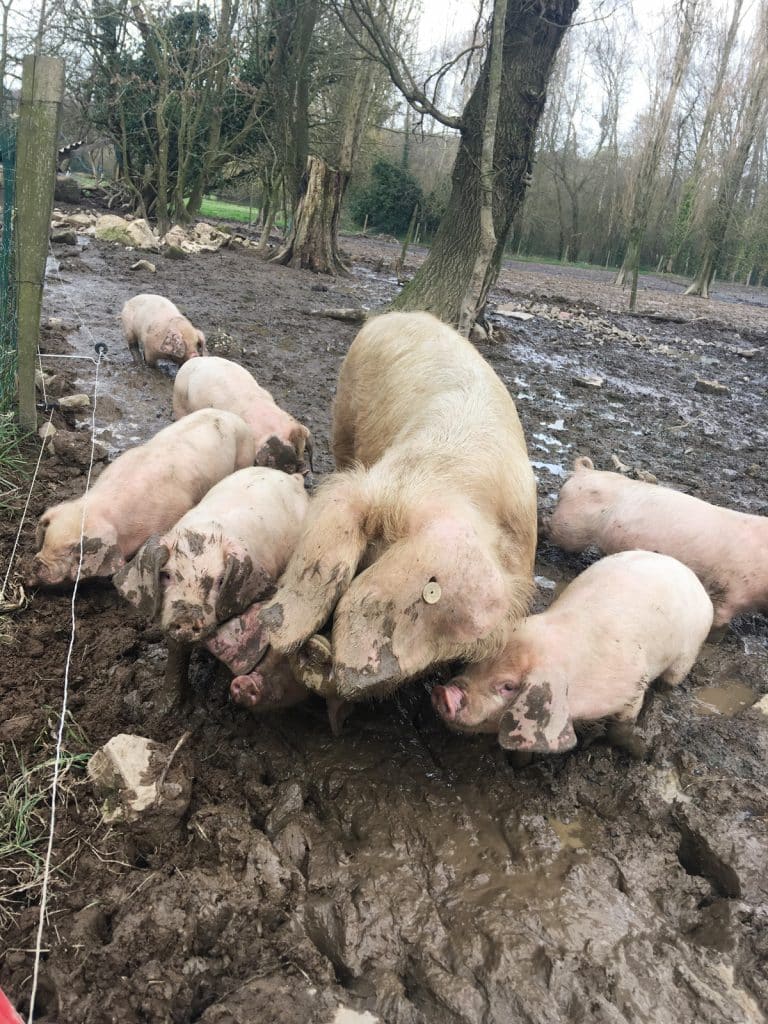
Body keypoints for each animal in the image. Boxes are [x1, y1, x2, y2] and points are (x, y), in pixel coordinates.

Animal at [432, 550, 714, 754]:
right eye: (474, 665)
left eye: (508, 686)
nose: (444, 692)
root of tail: (687, 571)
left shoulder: (632, 685)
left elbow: (621, 727)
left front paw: (642, 753)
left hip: (689, 650)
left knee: (672, 678)